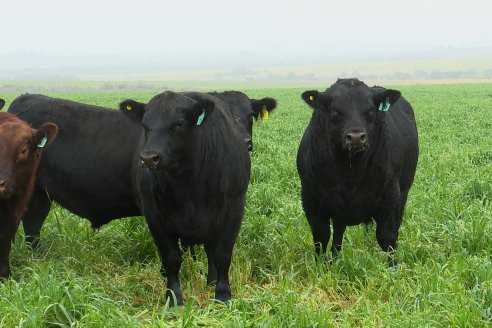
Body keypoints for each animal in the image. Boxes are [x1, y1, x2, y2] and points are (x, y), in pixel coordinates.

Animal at [119, 89, 250, 304]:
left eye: (179, 123)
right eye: (145, 124)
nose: (149, 158)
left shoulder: (233, 209)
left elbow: (222, 255)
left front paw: (222, 294)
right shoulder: (154, 216)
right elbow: (172, 258)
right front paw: (173, 297)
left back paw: (212, 281)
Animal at [296, 79, 418, 266]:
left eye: (370, 110)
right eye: (335, 110)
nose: (355, 137)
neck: (349, 171)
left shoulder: (391, 197)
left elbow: (387, 237)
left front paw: (392, 268)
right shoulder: (311, 199)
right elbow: (321, 237)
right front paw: (319, 267)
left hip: (403, 194)